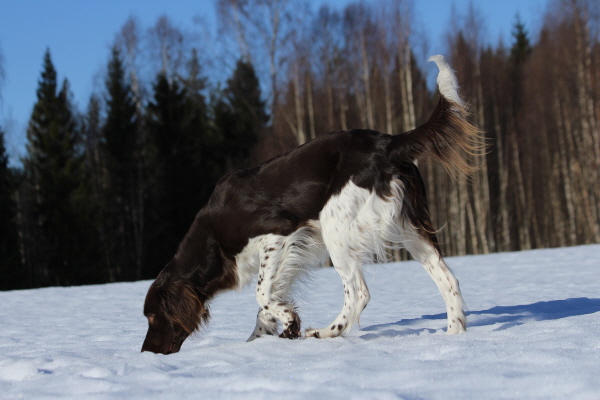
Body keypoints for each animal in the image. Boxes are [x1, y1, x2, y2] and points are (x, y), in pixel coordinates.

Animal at [142, 55, 482, 354]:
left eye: (153, 317)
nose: (146, 353)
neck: (213, 235)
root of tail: (390, 143)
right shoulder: (289, 252)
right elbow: (267, 304)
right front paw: (263, 340)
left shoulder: (277, 236)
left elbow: (261, 294)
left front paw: (291, 325)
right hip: (411, 228)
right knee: (448, 279)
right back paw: (454, 335)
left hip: (337, 228)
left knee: (358, 292)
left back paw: (326, 332)